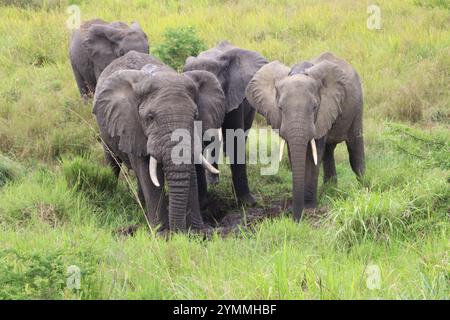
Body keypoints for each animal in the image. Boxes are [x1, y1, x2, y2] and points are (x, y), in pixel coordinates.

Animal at [95, 50, 229, 230]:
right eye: (150, 118)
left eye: (195, 116)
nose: (178, 231)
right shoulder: (132, 125)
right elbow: (147, 171)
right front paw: (161, 232)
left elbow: (190, 171)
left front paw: (197, 230)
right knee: (113, 160)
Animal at [183, 40, 268, 208]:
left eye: (218, 90)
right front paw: (202, 203)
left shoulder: (234, 94)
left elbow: (235, 140)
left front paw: (248, 202)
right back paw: (214, 182)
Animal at [246, 52, 366, 221]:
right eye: (280, 108)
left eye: (314, 107)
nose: (295, 219)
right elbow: (294, 153)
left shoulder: (323, 111)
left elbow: (313, 157)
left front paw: (309, 208)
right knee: (328, 152)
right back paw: (330, 191)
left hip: (358, 105)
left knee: (354, 150)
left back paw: (363, 190)